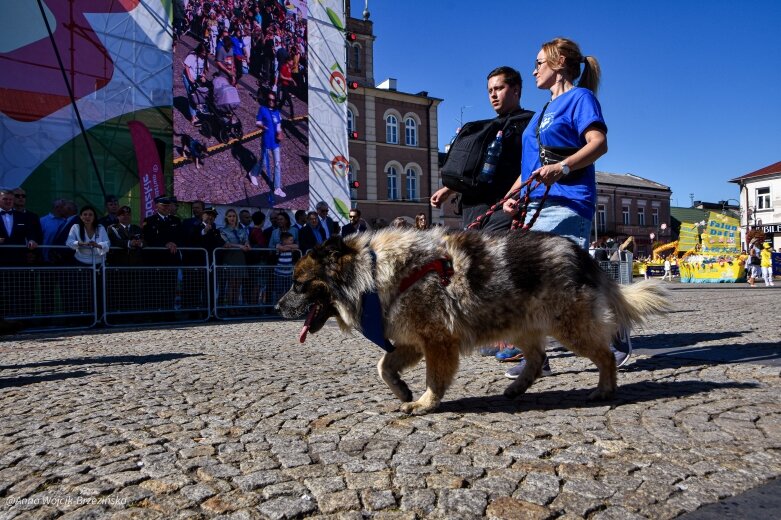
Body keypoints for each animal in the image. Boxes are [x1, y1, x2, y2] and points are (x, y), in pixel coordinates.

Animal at [278, 228, 672, 414]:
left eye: (298, 284)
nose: (278, 306)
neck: (371, 272)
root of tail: (582, 253)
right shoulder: (411, 342)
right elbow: (383, 366)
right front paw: (403, 390)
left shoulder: (437, 342)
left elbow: (433, 379)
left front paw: (425, 403)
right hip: (521, 325)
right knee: (537, 359)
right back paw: (517, 388)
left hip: (570, 326)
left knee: (604, 356)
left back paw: (604, 389)